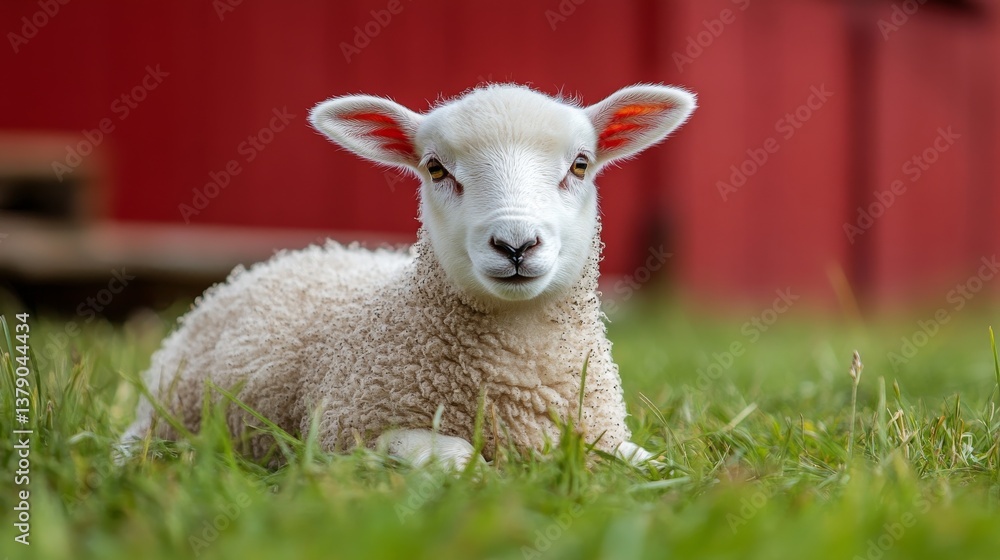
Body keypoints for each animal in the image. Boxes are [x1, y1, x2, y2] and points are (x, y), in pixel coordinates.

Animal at [122, 83, 696, 469]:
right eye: (436, 168)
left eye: (580, 164)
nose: (515, 244)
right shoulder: (346, 431)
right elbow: (454, 458)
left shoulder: (599, 433)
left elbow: (650, 464)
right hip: (169, 405)